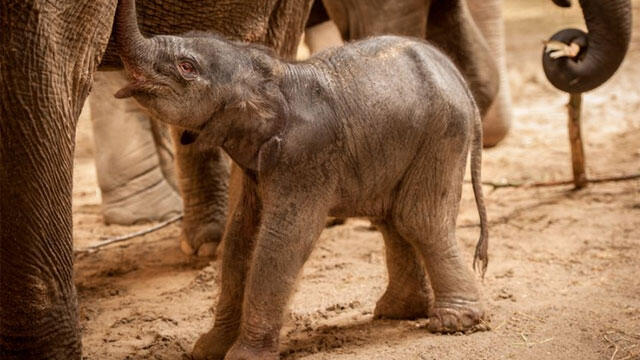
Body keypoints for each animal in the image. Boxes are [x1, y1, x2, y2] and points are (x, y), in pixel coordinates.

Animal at [114, 0, 484, 358]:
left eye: (187, 66)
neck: (270, 73)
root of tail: (453, 72)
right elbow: (241, 235)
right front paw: (206, 350)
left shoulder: (306, 157)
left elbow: (283, 238)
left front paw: (243, 356)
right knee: (391, 220)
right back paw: (397, 312)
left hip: (443, 134)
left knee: (418, 219)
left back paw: (453, 323)